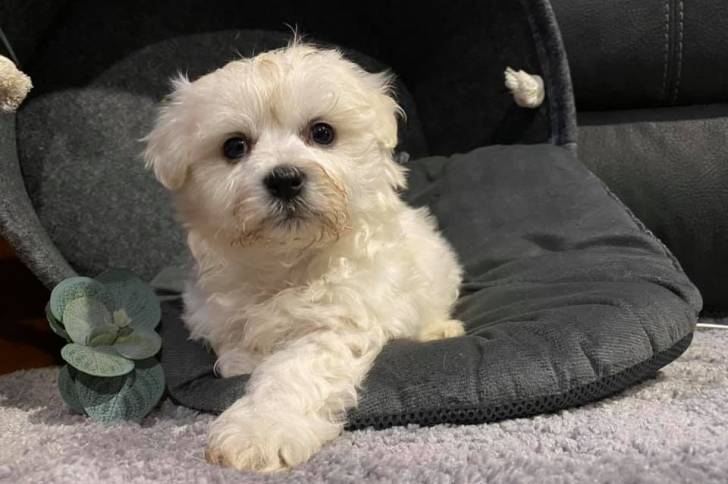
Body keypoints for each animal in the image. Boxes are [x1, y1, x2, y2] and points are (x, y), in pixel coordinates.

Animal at [144, 41, 464, 472]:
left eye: (322, 133)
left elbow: (293, 371)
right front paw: (244, 363)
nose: (284, 179)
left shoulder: (339, 321)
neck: (286, 261)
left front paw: (260, 429)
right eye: (234, 146)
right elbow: (234, 353)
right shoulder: (217, 314)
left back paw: (440, 330)